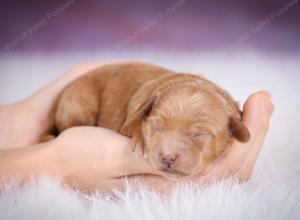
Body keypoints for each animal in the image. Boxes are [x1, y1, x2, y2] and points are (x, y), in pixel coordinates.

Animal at [41, 61, 248, 178]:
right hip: (78, 103)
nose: (168, 156)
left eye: (198, 134)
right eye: (156, 127)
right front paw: (140, 140)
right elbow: (134, 121)